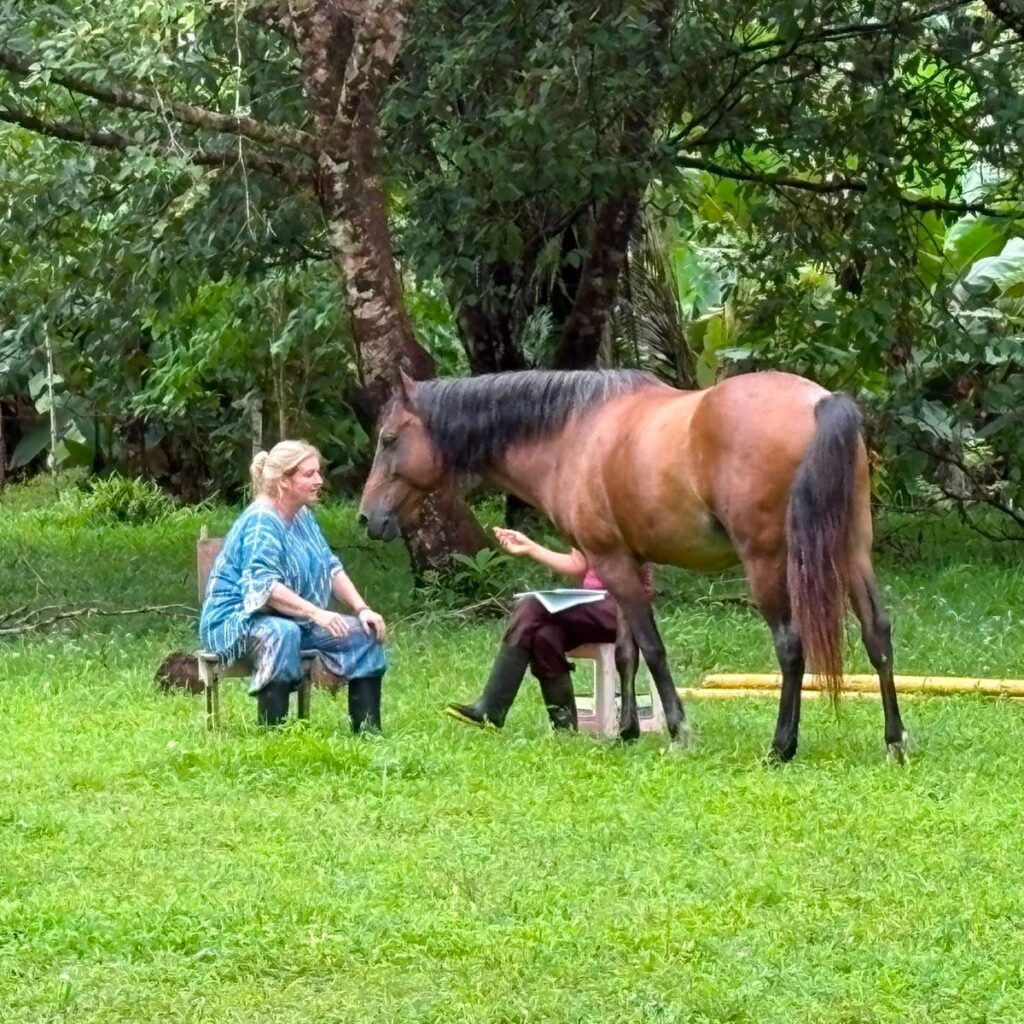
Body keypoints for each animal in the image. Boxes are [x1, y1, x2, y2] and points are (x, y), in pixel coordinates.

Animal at [358, 368, 909, 762]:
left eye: (389, 439)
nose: (367, 517)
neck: (573, 432)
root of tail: (820, 402)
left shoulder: (613, 562)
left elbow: (652, 648)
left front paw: (679, 732)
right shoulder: (621, 560)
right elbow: (626, 653)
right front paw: (625, 731)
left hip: (767, 564)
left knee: (791, 648)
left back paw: (781, 747)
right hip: (851, 552)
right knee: (878, 635)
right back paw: (895, 740)